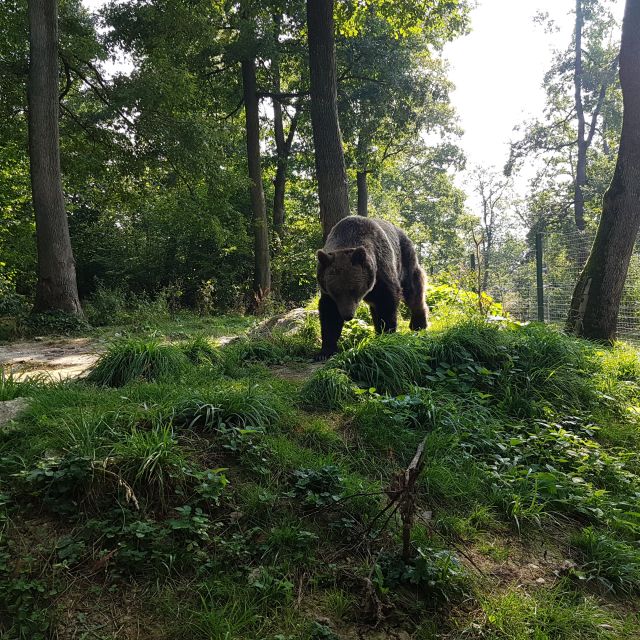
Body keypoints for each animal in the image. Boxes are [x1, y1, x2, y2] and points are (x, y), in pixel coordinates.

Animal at [316, 216, 428, 359]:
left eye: (353, 290)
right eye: (335, 292)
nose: (347, 315)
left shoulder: (381, 272)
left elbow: (387, 303)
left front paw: (388, 334)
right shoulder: (327, 289)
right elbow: (329, 314)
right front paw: (325, 351)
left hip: (405, 259)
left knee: (413, 291)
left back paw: (418, 324)